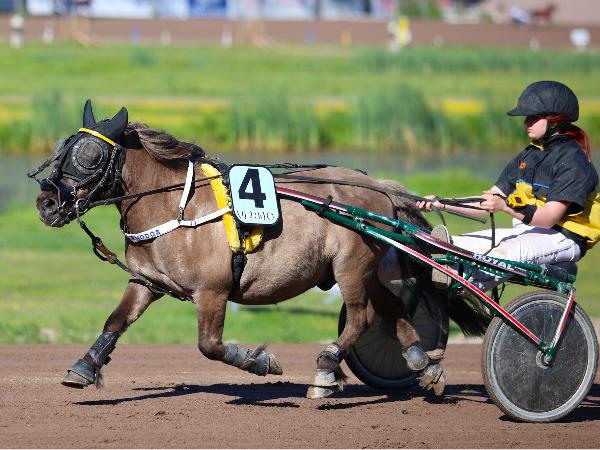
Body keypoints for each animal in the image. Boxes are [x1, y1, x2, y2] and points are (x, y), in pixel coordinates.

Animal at [33, 101, 488, 398]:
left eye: (89, 155)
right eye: (61, 150)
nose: (47, 203)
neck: (175, 205)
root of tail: (380, 187)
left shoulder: (212, 291)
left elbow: (210, 346)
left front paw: (261, 361)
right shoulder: (146, 281)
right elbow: (116, 321)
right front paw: (84, 367)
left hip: (351, 266)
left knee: (363, 317)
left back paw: (326, 370)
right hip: (367, 268)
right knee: (392, 309)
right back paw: (423, 364)